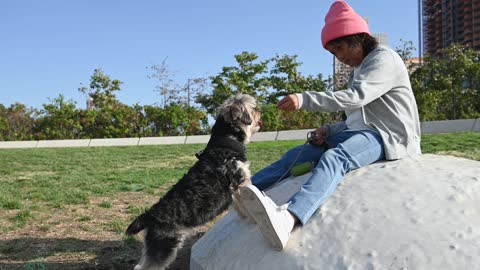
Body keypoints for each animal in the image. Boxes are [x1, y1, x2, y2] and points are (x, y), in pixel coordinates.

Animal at [126, 94, 262, 268]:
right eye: (253, 107)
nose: (260, 111)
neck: (225, 148)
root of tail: (149, 215)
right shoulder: (240, 186)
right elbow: (244, 206)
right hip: (165, 246)